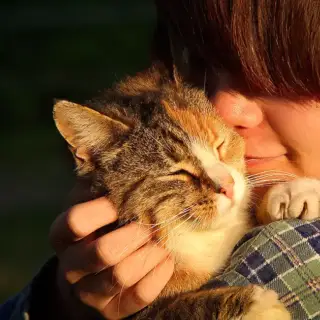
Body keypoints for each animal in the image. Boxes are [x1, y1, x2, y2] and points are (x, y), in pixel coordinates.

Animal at [53, 63, 290, 318]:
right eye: (179, 172)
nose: (228, 186)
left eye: (219, 145)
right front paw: (257, 305)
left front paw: (292, 195)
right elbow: (180, 307)